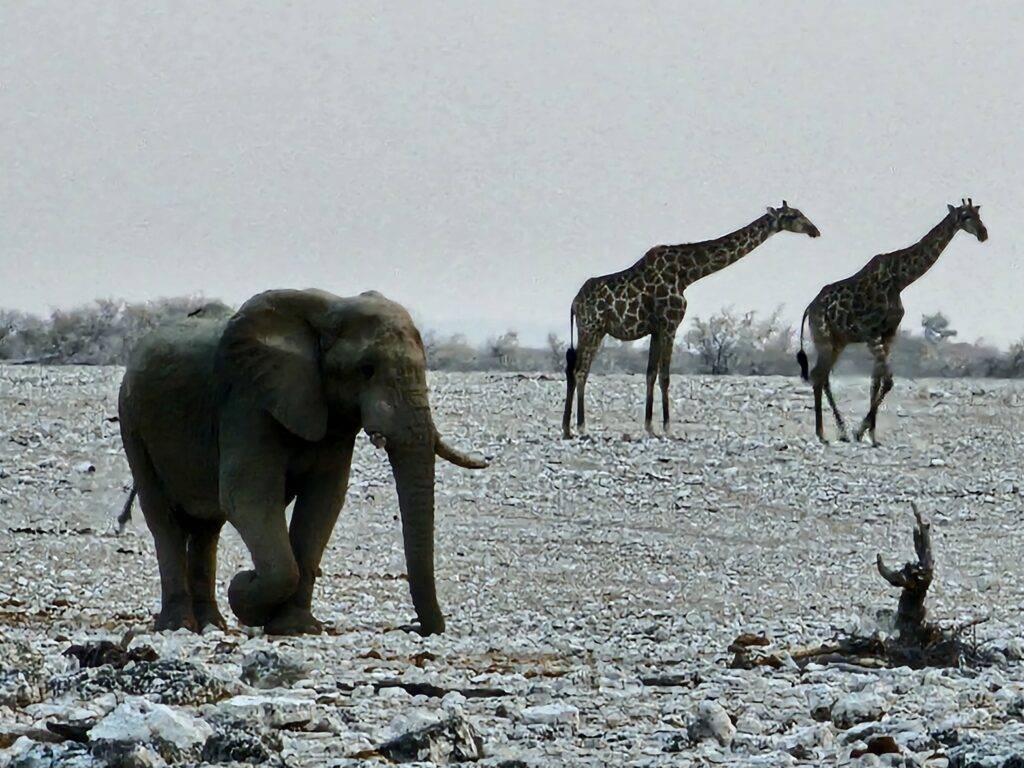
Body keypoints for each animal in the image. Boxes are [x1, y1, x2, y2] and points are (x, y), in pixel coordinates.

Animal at [117, 288, 485, 638]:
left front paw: (295, 628)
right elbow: (248, 497)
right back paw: (178, 625)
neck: (328, 313)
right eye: (366, 370)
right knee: (163, 518)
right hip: (132, 420)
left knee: (208, 527)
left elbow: (323, 502)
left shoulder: (331, 416)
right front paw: (245, 588)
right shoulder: (248, 401)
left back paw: (213, 624)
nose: (413, 627)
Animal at [565, 201, 819, 438]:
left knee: (573, 370)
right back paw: (581, 427)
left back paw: (567, 428)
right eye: (793, 215)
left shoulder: (656, 329)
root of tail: (574, 303)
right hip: (593, 328)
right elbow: (665, 376)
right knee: (581, 371)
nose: (814, 230)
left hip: (588, 330)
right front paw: (668, 428)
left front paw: (650, 427)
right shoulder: (670, 324)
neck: (687, 274)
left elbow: (650, 374)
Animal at [794, 201, 987, 448]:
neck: (900, 280)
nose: (983, 234)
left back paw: (839, 432)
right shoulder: (871, 334)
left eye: (978, 214)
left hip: (838, 342)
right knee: (818, 375)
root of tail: (810, 308)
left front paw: (872, 435)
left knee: (823, 376)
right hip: (824, 337)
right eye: (965, 216)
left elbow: (876, 382)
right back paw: (824, 433)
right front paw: (860, 431)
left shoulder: (888, 334)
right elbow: (888, 381)